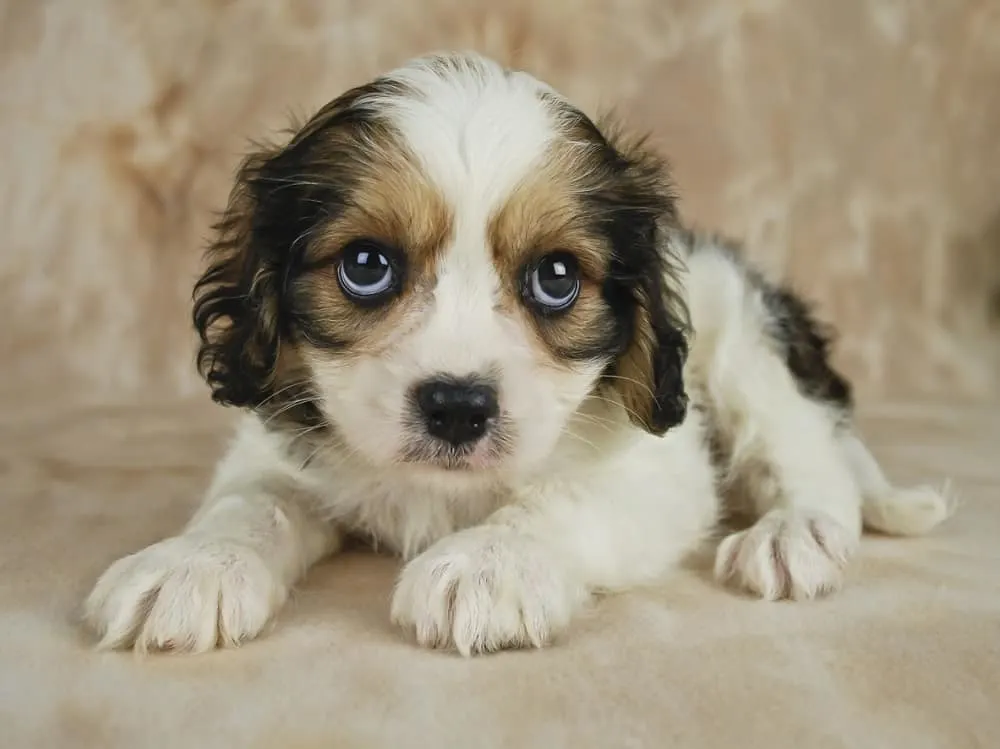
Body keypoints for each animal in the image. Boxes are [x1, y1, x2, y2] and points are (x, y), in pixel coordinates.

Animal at [82, 51, 948, 656]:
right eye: (366, 265)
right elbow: (248, 500)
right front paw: (195, 562)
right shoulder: (279, 447)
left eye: (556, 278)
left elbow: (555, 499)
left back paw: (794, 533)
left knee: (813, 460)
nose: (458, 408)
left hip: (746, 341)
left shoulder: (658, 471)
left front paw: (489, 562)